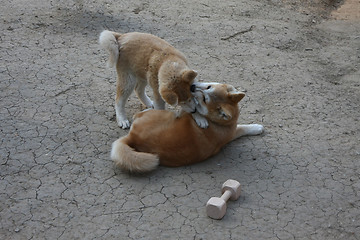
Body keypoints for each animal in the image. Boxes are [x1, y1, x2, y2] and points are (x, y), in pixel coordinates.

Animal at [110, 81, 264, 172]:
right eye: (208, 87)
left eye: (205, 99)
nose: (192, 87)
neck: (220, 123)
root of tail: (132, 138)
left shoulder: (232, 132)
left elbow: (242, 128)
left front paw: (256, 127)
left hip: (161, 114)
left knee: (139, 114)